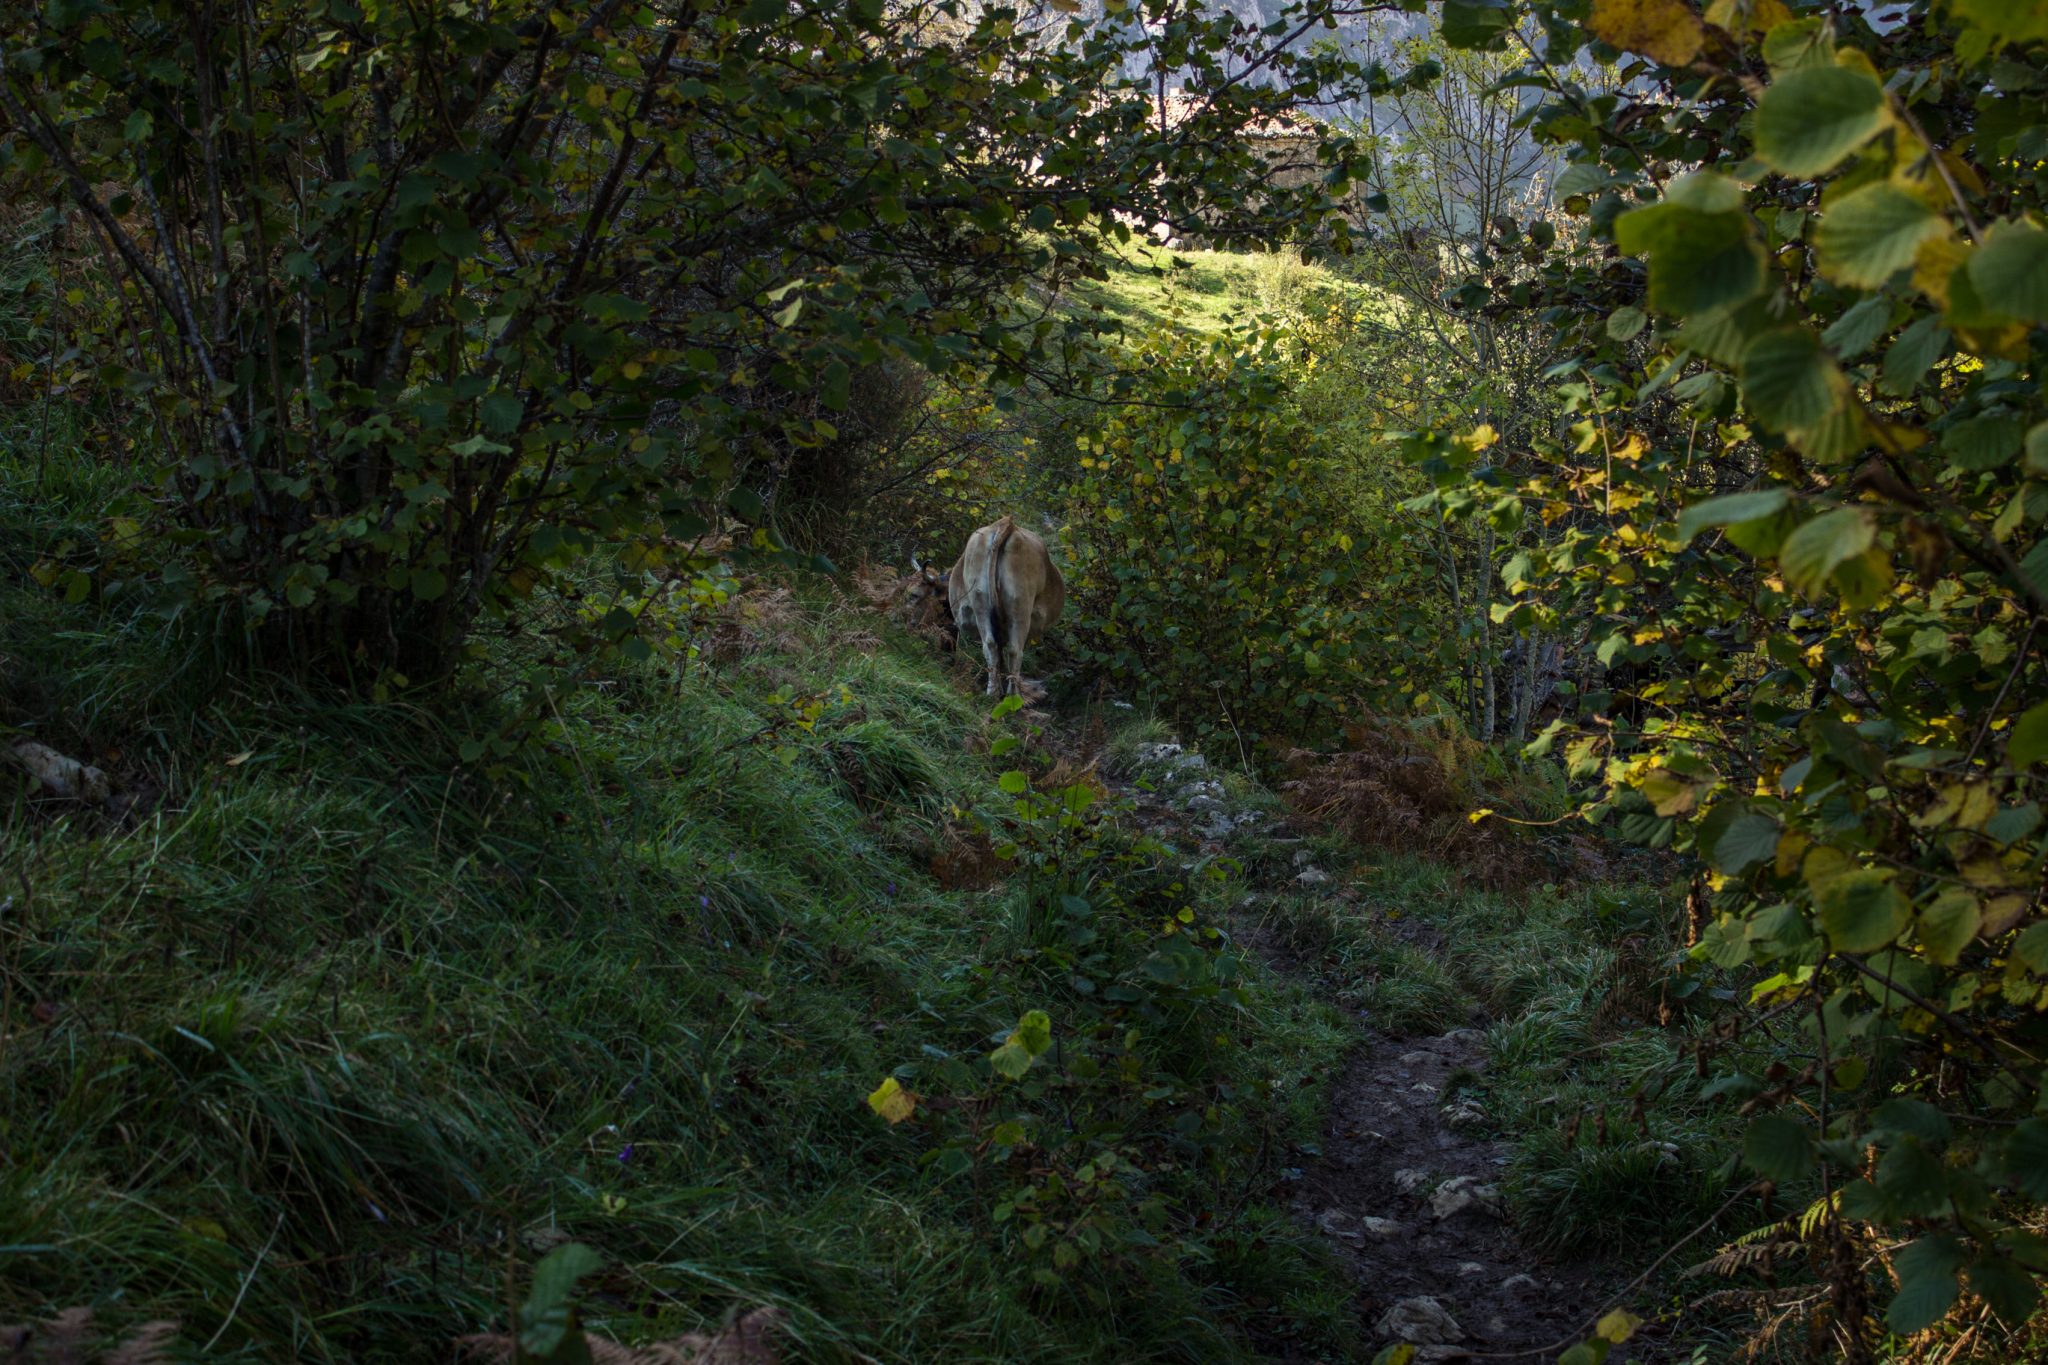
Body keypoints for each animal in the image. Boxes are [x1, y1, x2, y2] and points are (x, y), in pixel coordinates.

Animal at [907, 516, 1065, 697]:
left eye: (914, 595)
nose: (907, 623)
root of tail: (1006, 524)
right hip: (1019, 608)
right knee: (1013, 650)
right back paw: (1010, 694)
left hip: (981, 602)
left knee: (991, 644)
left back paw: (997, 692)